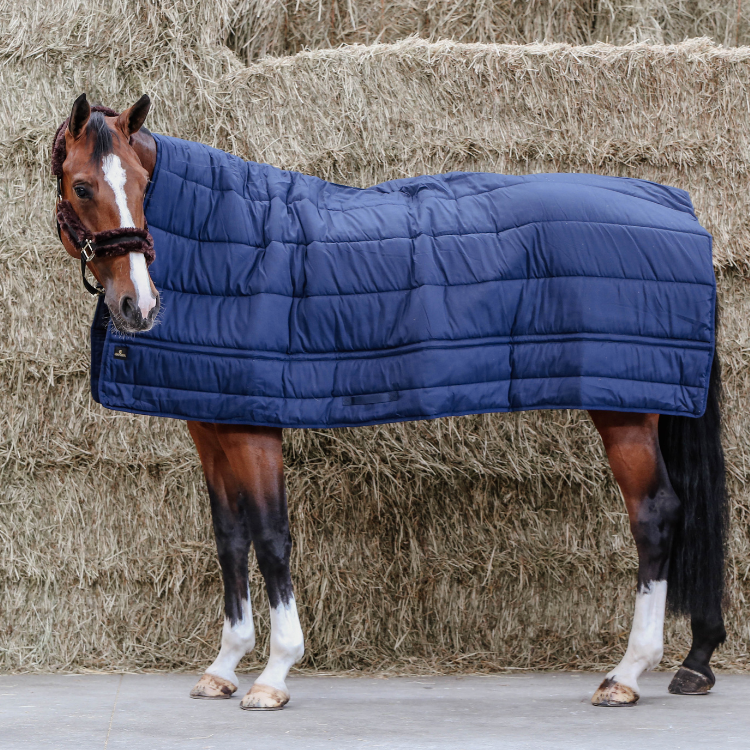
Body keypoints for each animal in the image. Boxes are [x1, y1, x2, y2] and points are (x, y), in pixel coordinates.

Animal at [51, 92, 728, 710]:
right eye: (82, 187)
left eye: (142, 184)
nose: (139, 306)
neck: (220, 238)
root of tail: (684, 213)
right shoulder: (212, 419)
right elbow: (230, 537)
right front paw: (223, 667)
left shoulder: (252, 425)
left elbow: (270, 535)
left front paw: (274, 674)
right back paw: (690, 661)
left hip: (625, 413)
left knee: (654, 515)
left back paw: (627, 673)